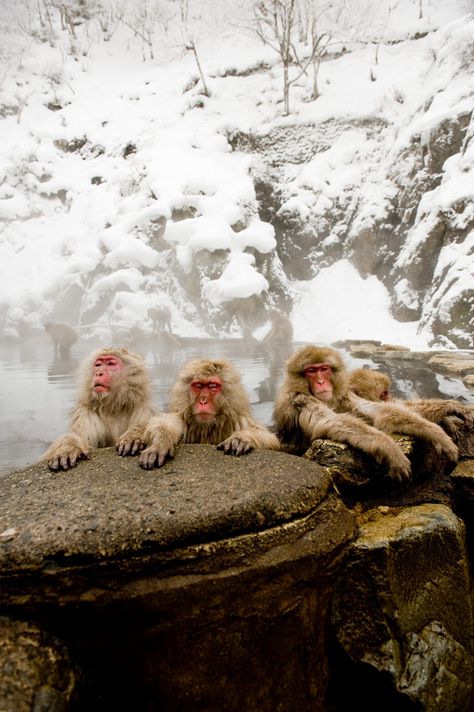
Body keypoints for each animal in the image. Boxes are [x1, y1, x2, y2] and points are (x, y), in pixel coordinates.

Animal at [137, 358, 280, 470]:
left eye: (212, 386)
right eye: (198, 386)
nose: (203, 400)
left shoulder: (238, 419)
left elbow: (270, 439)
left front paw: (240, 438)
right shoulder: (184, 417)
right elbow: (167, 423)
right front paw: (160, 443)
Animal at [272, 344, 462, 484]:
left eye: (323, 369)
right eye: (311, 371)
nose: (320, 382)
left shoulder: (344, 396)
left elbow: (377, 411)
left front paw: (438, 429)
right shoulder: (300, 400)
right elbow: (330, 421)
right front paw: (388, 447)